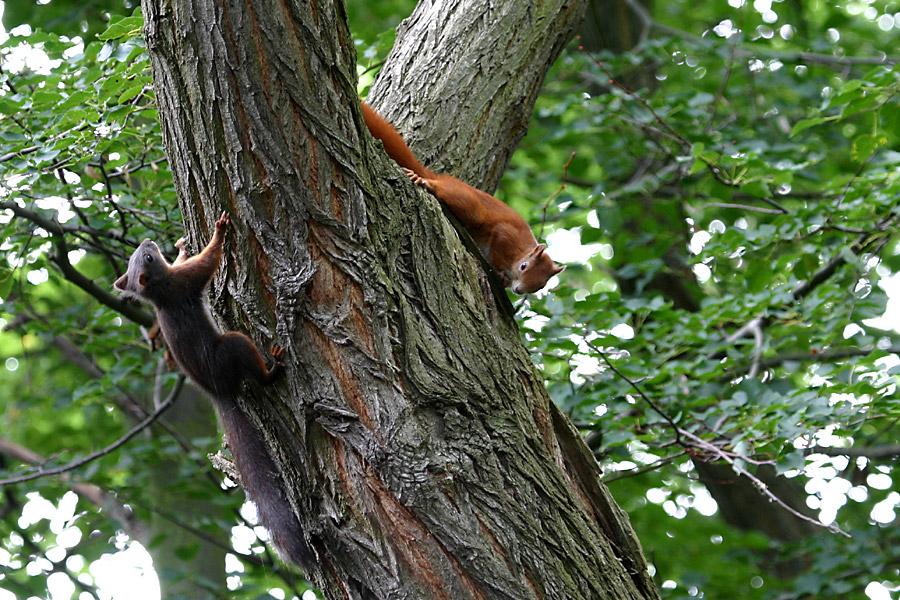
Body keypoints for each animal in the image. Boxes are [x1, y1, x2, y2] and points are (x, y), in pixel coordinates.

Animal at [112, 212, 312, 568]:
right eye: (147, 258)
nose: (149, 242)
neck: (159, 291)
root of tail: (219, 391)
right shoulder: (184, 283)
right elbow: (206, 263)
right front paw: (219, 233)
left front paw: (180, 247)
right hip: (232, 346)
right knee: (254, 369)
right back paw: (273, 369)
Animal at [360, 102, 564, 296]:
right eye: (524, 266)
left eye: (540, 285)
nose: (519, 290)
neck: (522, 251)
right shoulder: (507, 236)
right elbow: (498, 249)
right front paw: (500, 274)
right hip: (467, 203)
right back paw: (428, 183)